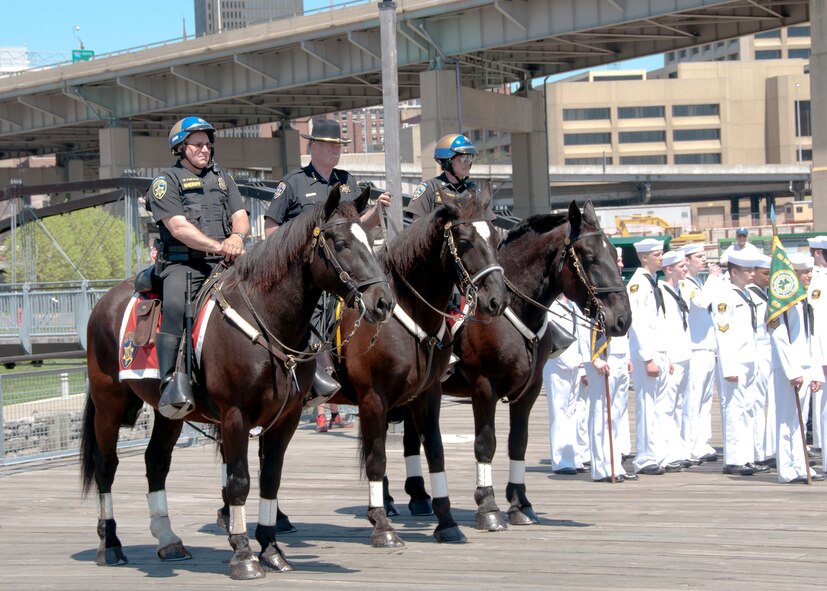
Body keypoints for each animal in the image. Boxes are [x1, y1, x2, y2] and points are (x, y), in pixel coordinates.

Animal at [79, 187, 396, 580]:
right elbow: (239, 482)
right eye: (340, 243)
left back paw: (168, 540)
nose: (383, 302)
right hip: (108, 403)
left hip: (168, 413)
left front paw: (272, 550)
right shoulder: (235, 416)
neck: (268, 321)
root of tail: (104, 301)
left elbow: (270, 479)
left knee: (156, 461)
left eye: (369, 237)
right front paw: (244, 554)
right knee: (106, 465)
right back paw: (110, 545)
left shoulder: (286, 418)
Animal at [398, 201, 632, 528]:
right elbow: (485, 444)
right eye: (590, 258)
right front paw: (488, 506)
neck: (515, 305)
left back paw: (419, 497)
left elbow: (518, 442)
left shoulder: (530, 388)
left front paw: (520, 503)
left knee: (410, 437)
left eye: (612, 252)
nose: (623, 319)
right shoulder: (484, 385)